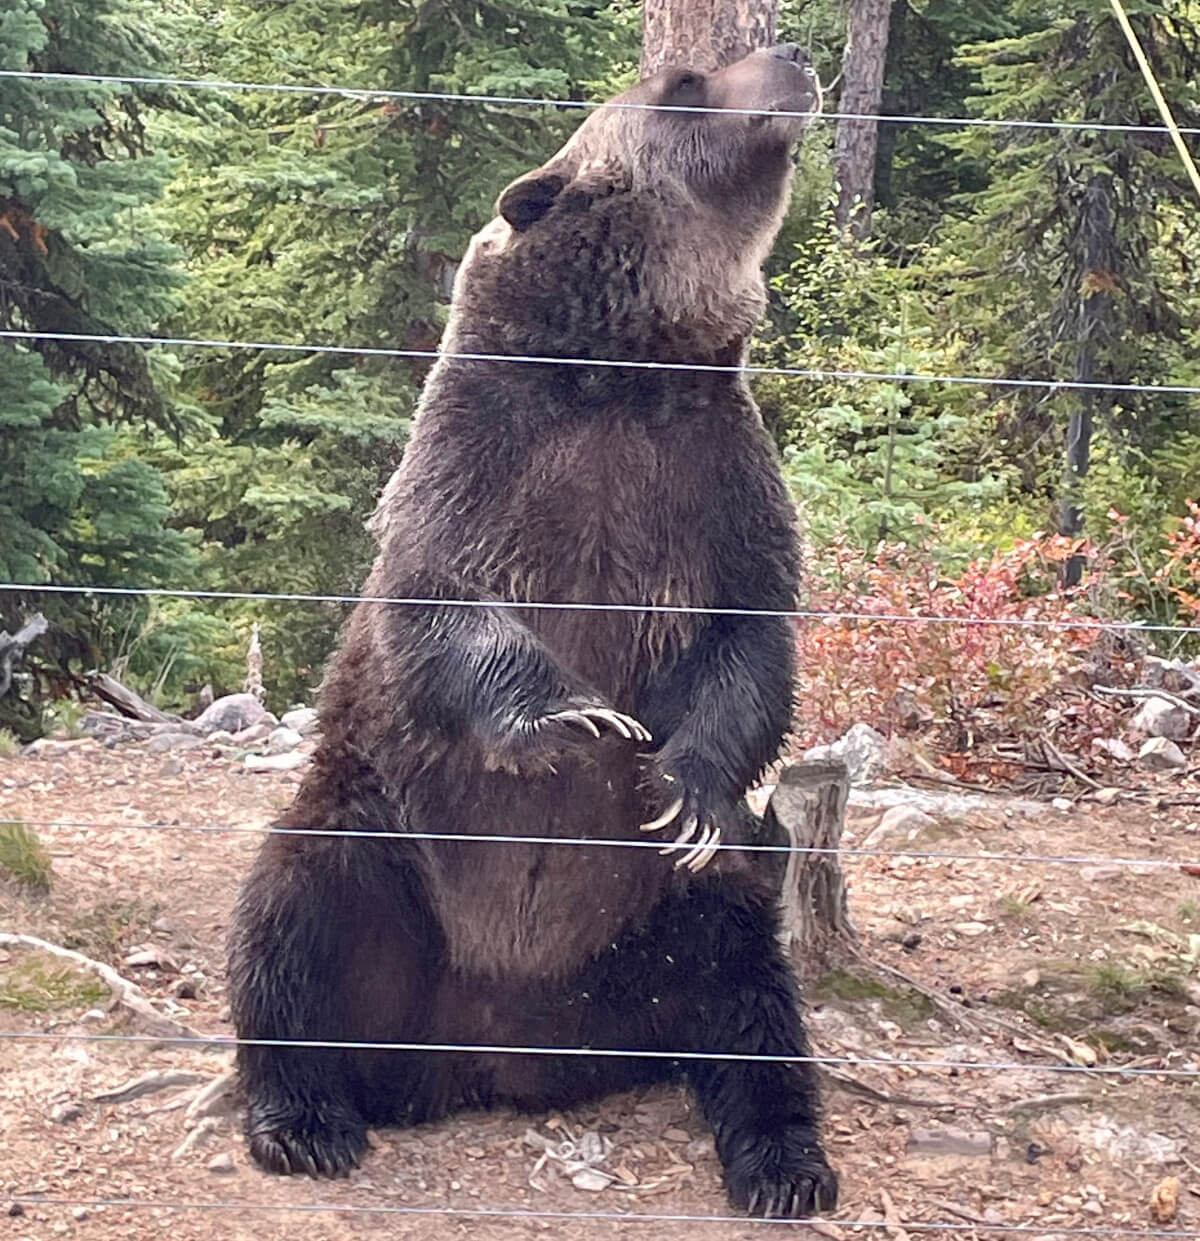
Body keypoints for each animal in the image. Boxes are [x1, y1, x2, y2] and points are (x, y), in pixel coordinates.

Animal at [228, 43, 837, 1220]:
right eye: (686, 83)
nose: (790, 56)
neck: (620, 372)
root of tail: (499, 1048)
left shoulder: (716, 476)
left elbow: (750, 636)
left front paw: (684, 786)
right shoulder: (484, 448)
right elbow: (439, 595)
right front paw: (573, 717)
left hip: (664, 915)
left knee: (750, 988)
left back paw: (786, 1159)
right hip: (390, 855)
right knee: (293, 915)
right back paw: (304, 1117)